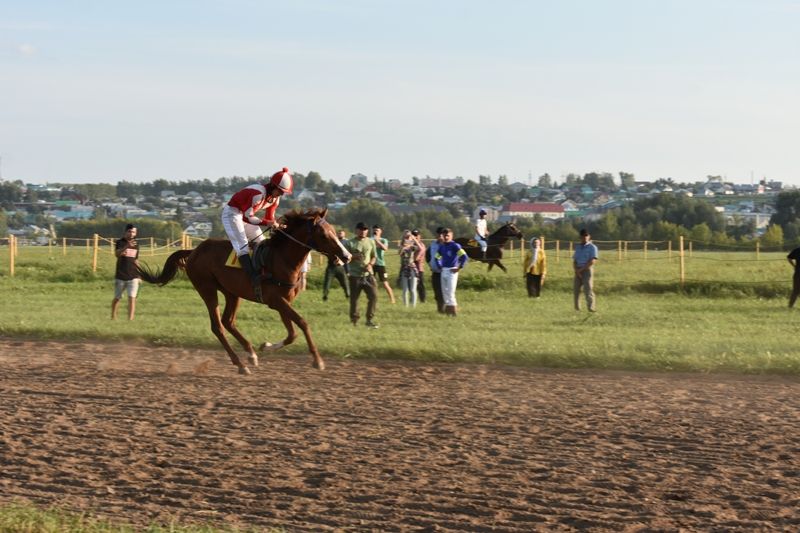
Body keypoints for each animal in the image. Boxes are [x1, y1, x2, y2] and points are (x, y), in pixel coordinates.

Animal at [137, 208, 350, 374]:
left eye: (334, 232)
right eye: (324, 235)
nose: (346, 256)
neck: (283, 259)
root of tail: (194, 250)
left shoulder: (282, 302)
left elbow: (292, 334)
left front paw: (266, 346)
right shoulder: (276, 300)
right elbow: (302, 323)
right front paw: (317, 360)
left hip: (231, 292)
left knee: (228, 321)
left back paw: (250, 354)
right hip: (206, 288)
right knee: (218, 326)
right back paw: (240, 364)